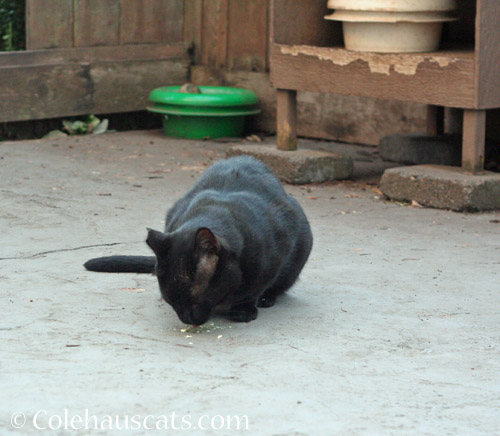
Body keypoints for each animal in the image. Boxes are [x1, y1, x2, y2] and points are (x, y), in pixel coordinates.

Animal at [85, 156, 312, 324]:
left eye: (195, 300)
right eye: (171, 301)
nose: (187, 319)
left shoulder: (274, 258)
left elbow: (254, 289)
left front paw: (244, 309)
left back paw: (267, 299)